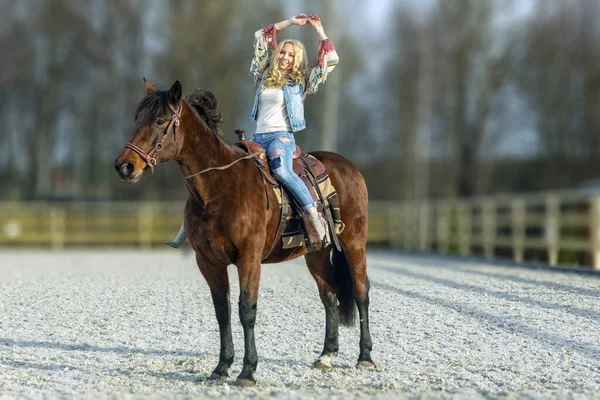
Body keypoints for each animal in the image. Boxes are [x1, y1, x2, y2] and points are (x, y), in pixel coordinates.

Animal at [114, 79, 372, 388]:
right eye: (137, 119)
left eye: (160, 120)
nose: (124, 166)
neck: (220, 187)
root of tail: (349, 167)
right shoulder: (209, 263)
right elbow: (222, 312)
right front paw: (221, 367)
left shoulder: (248, 259)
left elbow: (246, 310)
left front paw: (247, 371)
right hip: (317, 253)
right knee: (330, 297)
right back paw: (326, 355)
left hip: (354, 243)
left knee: (360, 293)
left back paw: (365, 357)